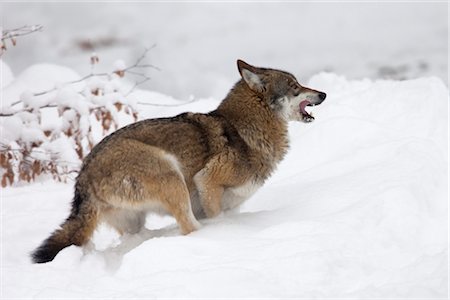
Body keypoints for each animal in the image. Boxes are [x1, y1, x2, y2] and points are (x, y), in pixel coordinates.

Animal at [32, 59, 326, 262]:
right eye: (296, 87)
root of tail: (83, 176)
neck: (245, 130)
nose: (323, 94)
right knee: (188, 228)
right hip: (172, 175)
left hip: (135, 221)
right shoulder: (206, 180)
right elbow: (216, 216)